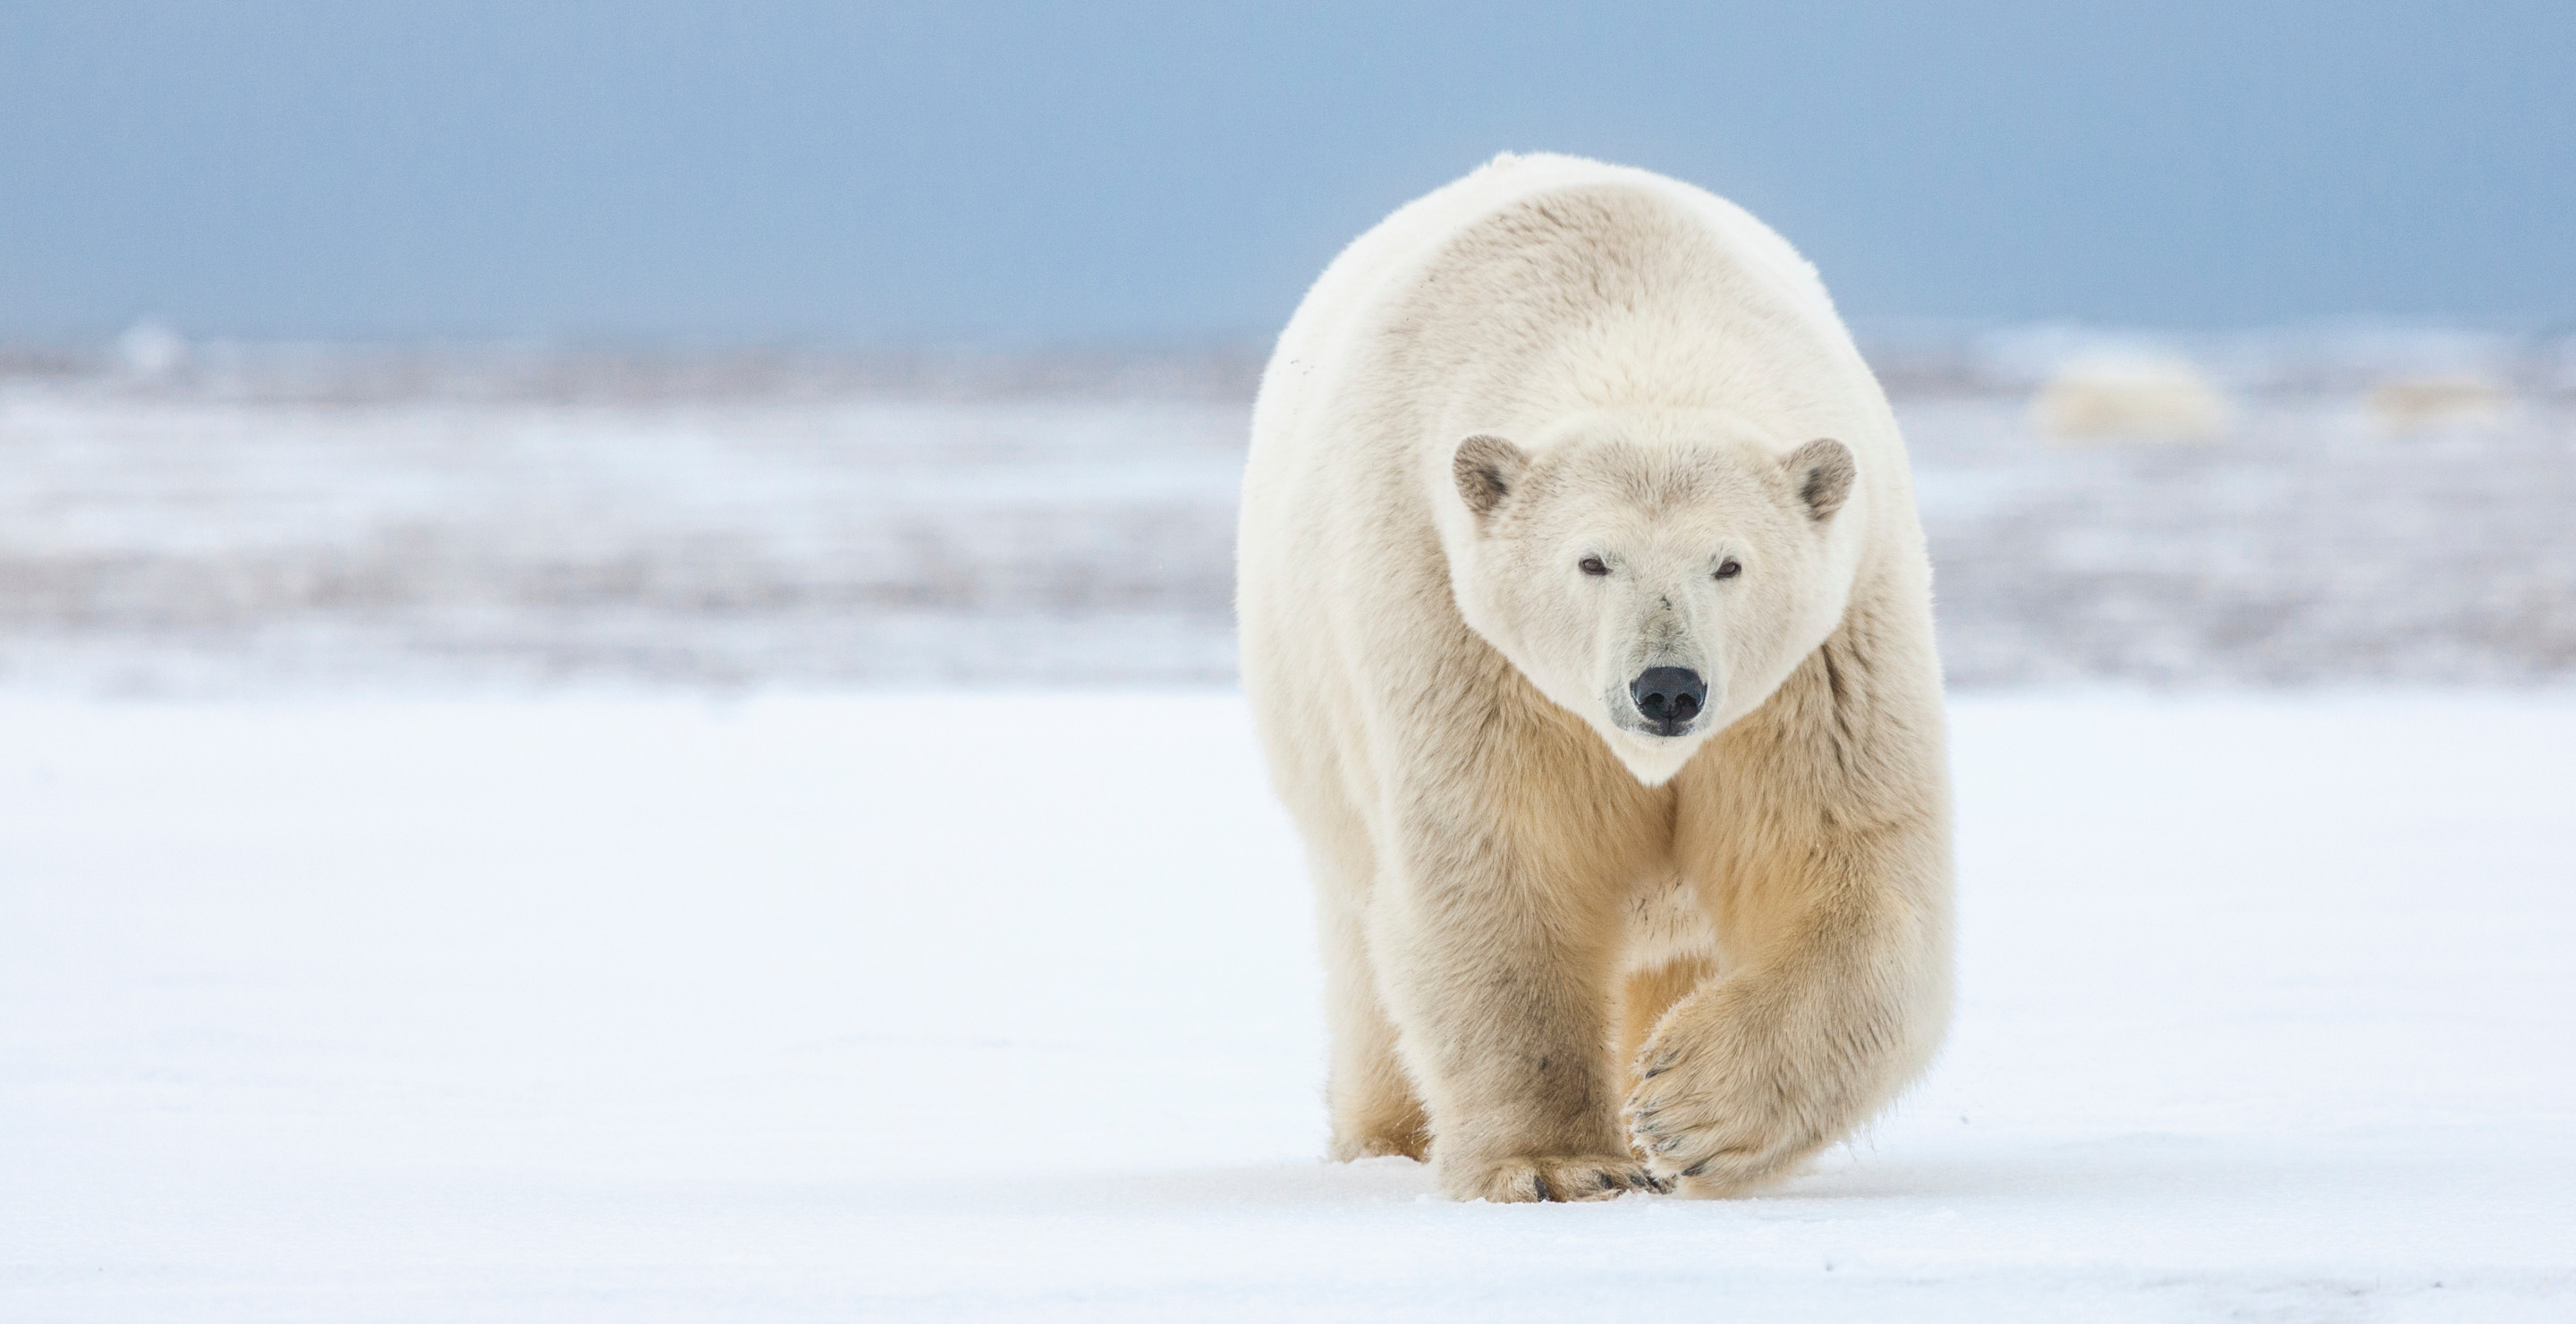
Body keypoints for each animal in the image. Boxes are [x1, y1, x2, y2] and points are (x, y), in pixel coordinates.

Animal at [1236, 151, 1936, 1195]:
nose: (1667, 688)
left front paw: (1683, 1107)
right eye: (1591, 560)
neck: (1635, 311)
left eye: (1729, 563)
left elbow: (1845, 867)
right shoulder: (1459, 633)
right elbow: (1501, 869)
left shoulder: (1827, 660)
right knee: (1364, 955)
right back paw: (1386, 1137)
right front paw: (1559, 1162)